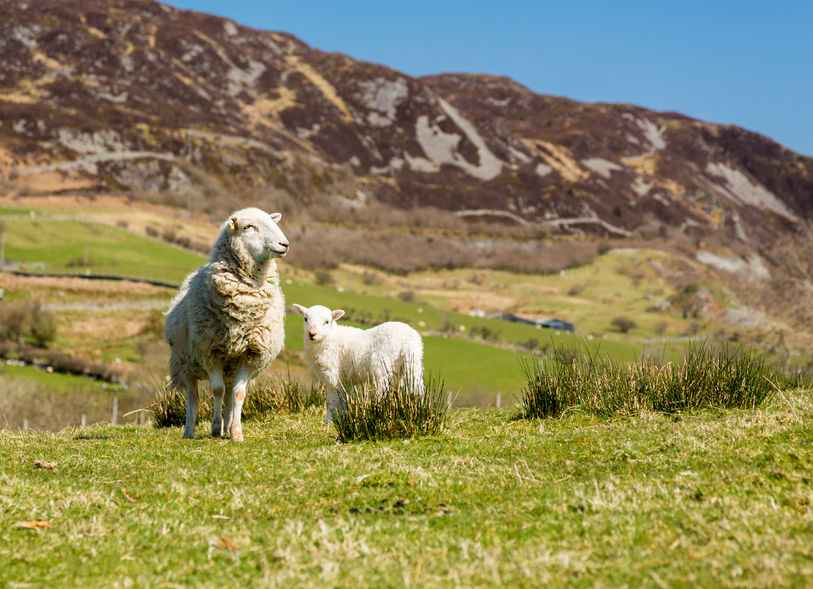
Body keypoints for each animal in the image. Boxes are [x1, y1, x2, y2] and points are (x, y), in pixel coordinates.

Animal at [163, 204, 290, 438]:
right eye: (249, 227)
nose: (284, 244)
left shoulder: (250, 354)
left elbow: (239, 394)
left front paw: (236, 433)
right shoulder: (210, 351)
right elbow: (217, 390)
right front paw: (215, 427)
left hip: (229, 366)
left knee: (230, 394)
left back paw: (228, 427)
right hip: (185, 363)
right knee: (193, 396)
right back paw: (189, 431)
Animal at [290, 304, 426, 422]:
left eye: (327, 322)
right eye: (305, 319)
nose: (312, 334)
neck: (329, 338)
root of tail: (407, 339)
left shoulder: (332, 375)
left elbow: (332, 401)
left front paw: (329, 422)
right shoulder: (344, 379)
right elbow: (343, 400)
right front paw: (343, 419)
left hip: (382, 365)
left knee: (382, 390)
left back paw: (378, 411)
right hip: (413, 362)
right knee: (417, 387)